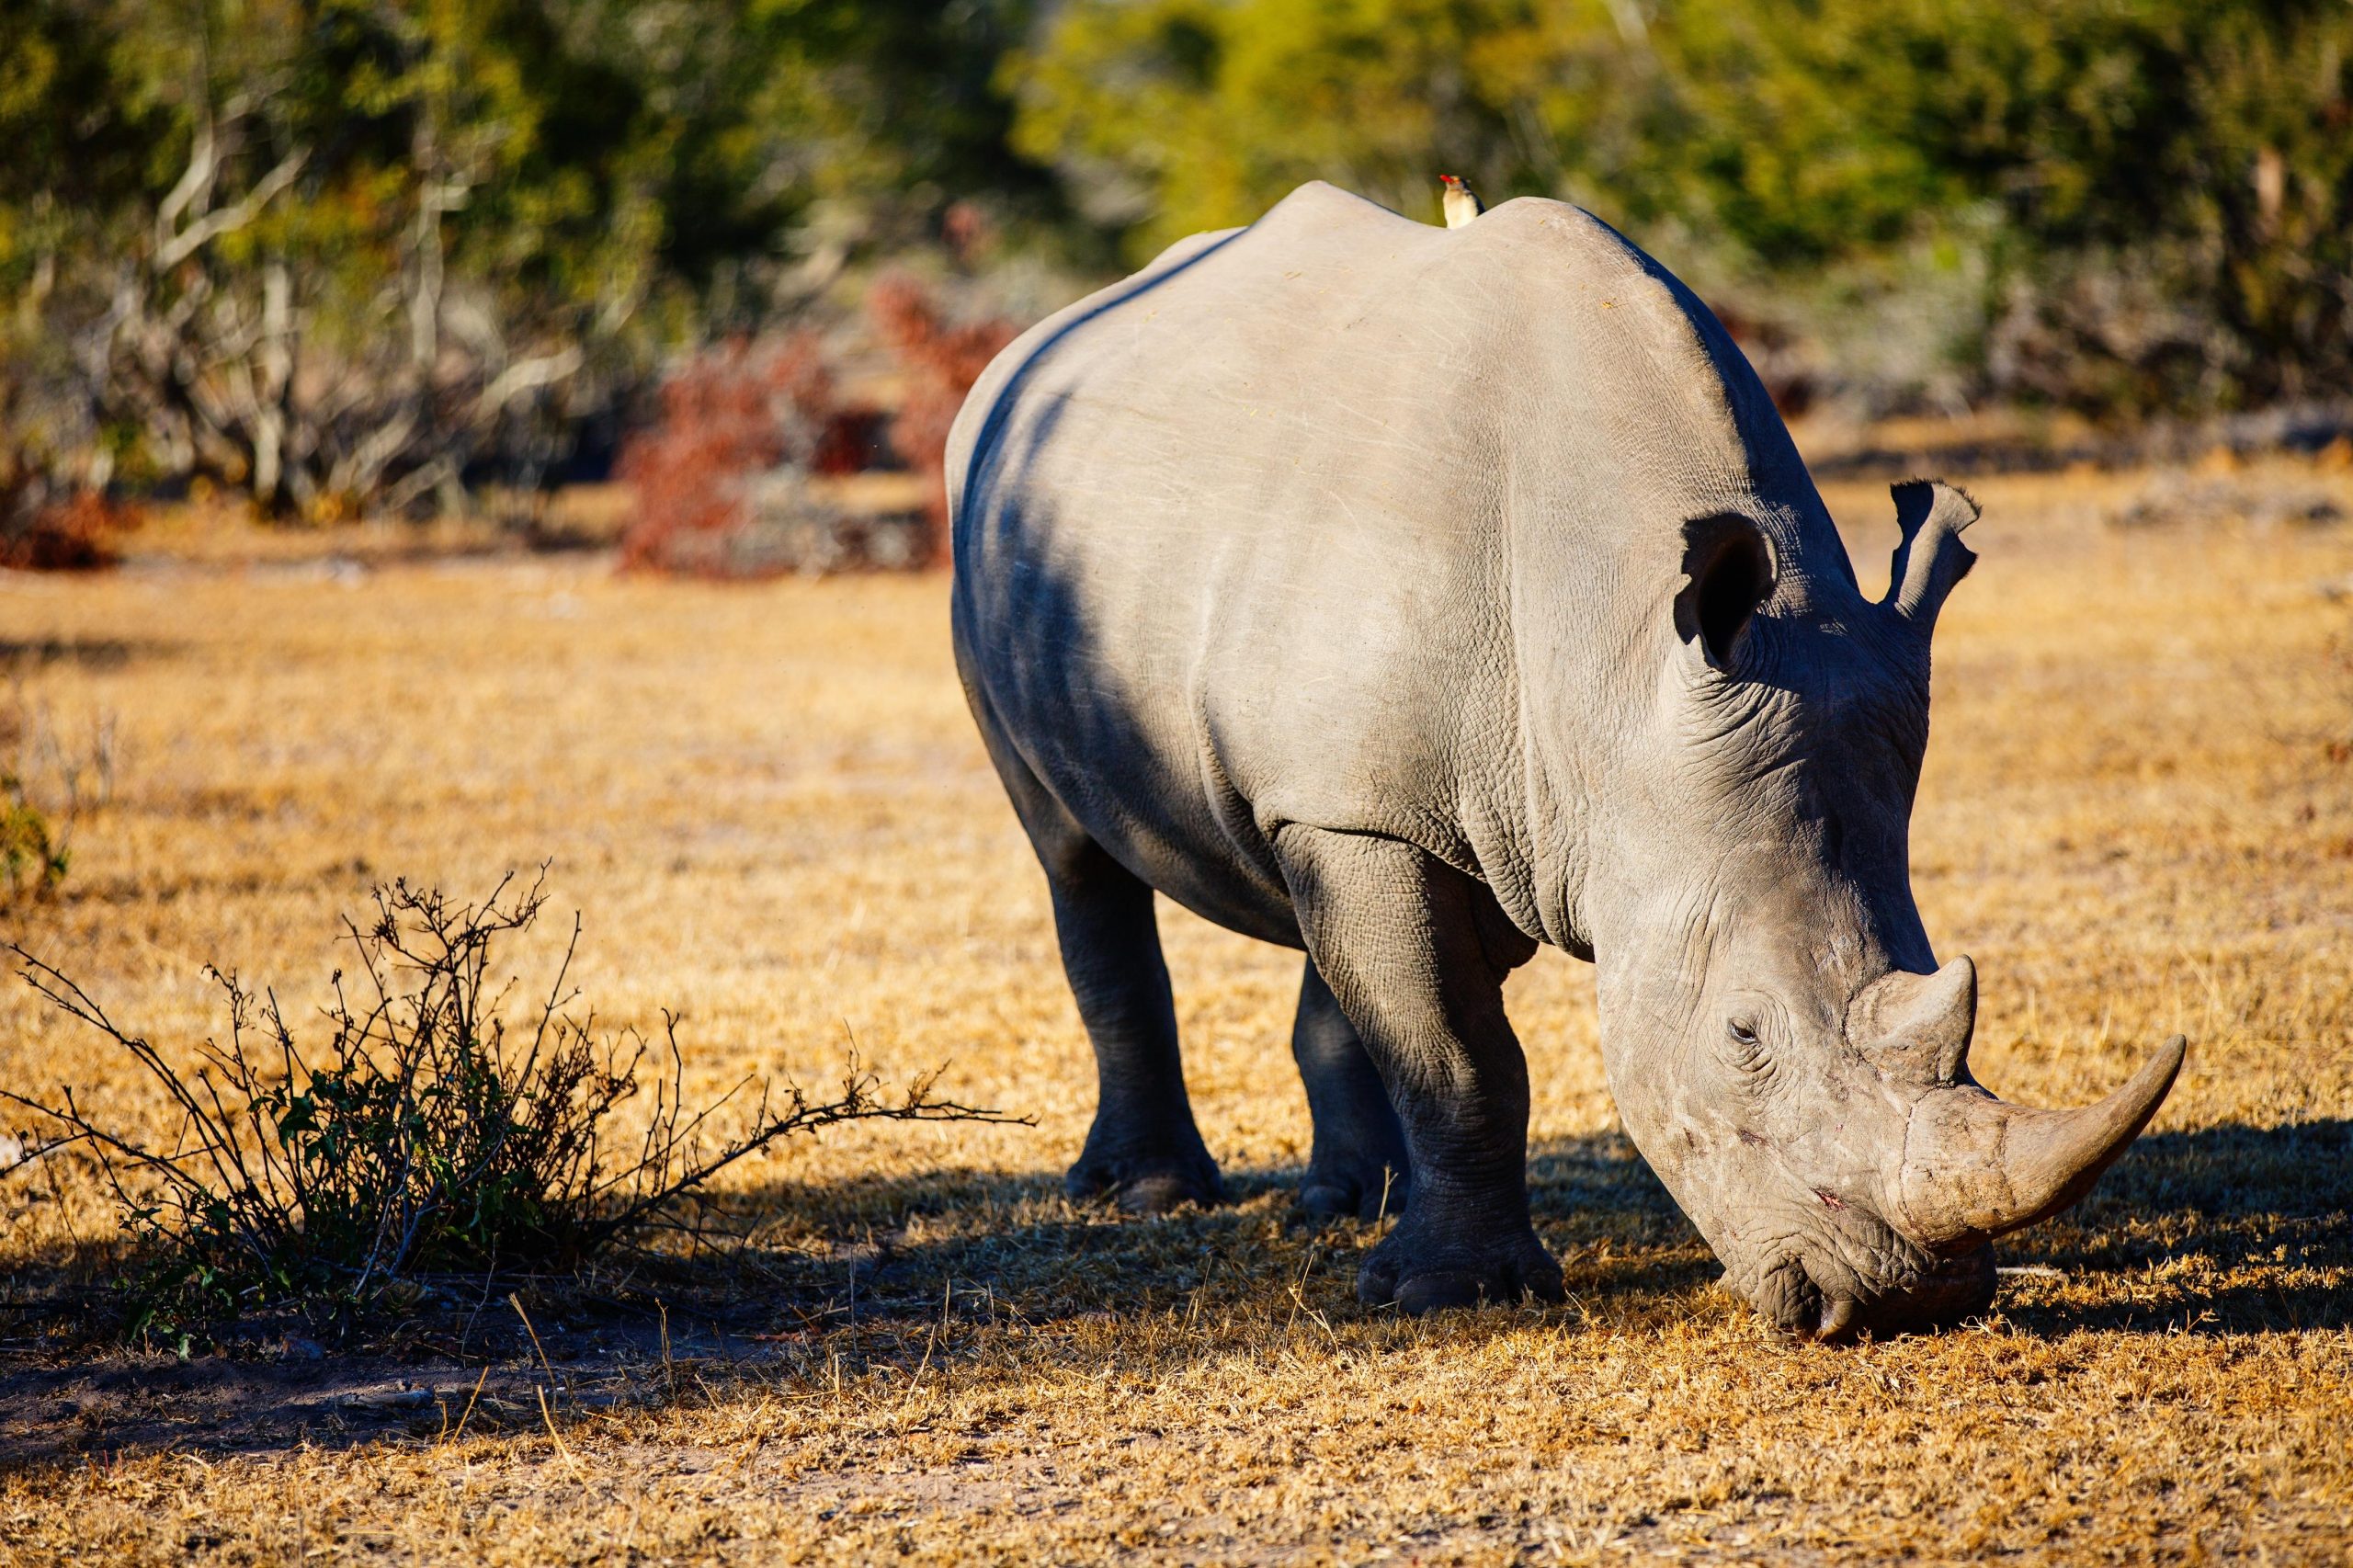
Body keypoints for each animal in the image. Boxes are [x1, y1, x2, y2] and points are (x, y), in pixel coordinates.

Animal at [945, 182, 2184, 1339]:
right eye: (1742, 1035)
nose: (1899, 1303)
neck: (1613, 676)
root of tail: (1030, 341)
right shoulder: (1375, 811)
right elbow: (1461, 1052)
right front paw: (1450, 1293)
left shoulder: (1453, 804)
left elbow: (1418, 1008)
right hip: (990, 528)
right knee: (1072, 853)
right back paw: (1152, 1194)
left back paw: (1348, 1199)